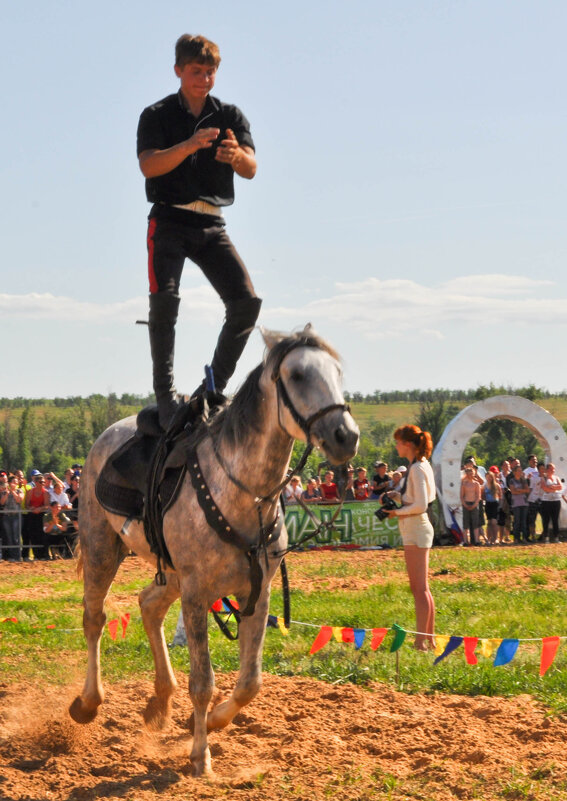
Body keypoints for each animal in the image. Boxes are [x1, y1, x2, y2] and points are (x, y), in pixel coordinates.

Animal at [67, 324, 360, 776]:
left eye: (338, 373)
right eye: (296, 376)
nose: (346, 435)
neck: (243, 495)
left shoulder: (257, 593)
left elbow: (250, 681)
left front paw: (213, 722)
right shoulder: (196, 593)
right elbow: (202, 683)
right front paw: (199, 756)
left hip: (169, 574)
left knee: (149, 605)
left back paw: (160, 700)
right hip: (103, 548)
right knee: (94, 618)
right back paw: (89, 701)